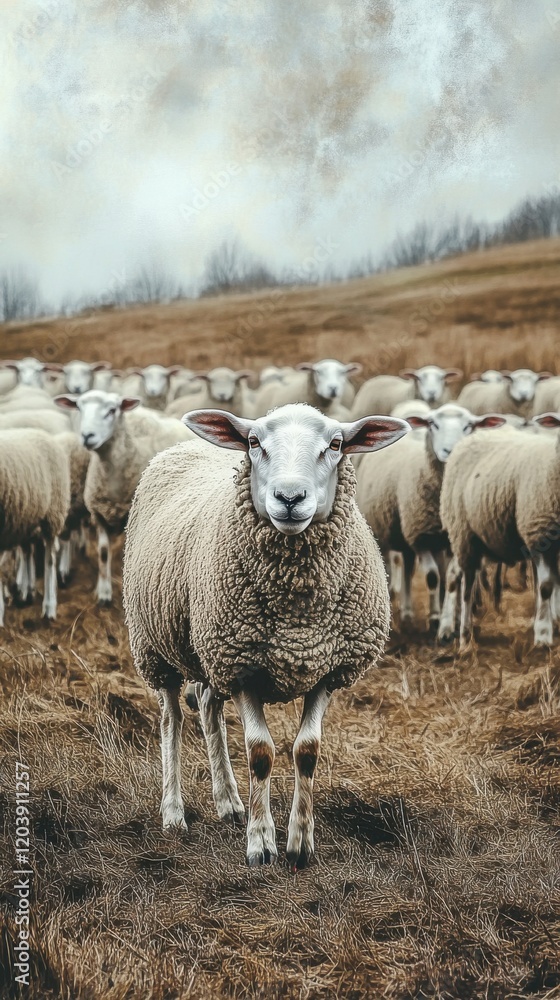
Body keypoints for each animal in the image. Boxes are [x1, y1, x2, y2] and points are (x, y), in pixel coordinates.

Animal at [0, 430, 70, 625]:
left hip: (53, 514)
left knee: (50, 559)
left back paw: (49, 607)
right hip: (25, 521)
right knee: (27, 551)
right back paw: (27, 592)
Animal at [55, 390, 195, 605]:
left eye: (112, 410)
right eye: (79, 407)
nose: (87, 436)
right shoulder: (99, 514)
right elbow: (104, 553)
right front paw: (104, 593)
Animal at [122, 404, 407, 868]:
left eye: (336, 444)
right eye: (254, 442)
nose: (289, 498)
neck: (297, 615)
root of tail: (182, 446)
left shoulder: (326, 669)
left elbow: (307, 751)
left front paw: (300, 843)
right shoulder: (243, 668)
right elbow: (260, 752)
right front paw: (260, 844)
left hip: (209, 651)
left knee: (207, 708)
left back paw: (228, 802)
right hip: (156, 647)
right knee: (172, 719)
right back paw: (174, 814)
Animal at [356, 404, 505, 630]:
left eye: (469, 426)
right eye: (433, 424)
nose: (449, 451)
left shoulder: (452, 540)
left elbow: (449, 578)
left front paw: (449, 619)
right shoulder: (420, 537)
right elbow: (433, 577)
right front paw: (435, 618)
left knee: (409, 568)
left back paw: (408, 612)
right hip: (383, 531)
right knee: (392, 567)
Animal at [439, 413, 560, 649]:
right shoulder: (539, 531)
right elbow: (546, 586)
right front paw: (542, 636)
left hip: (472, 537)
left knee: (453, 573)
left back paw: (447, 629)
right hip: (462, 529)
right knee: (467, 584)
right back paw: (464, 636)